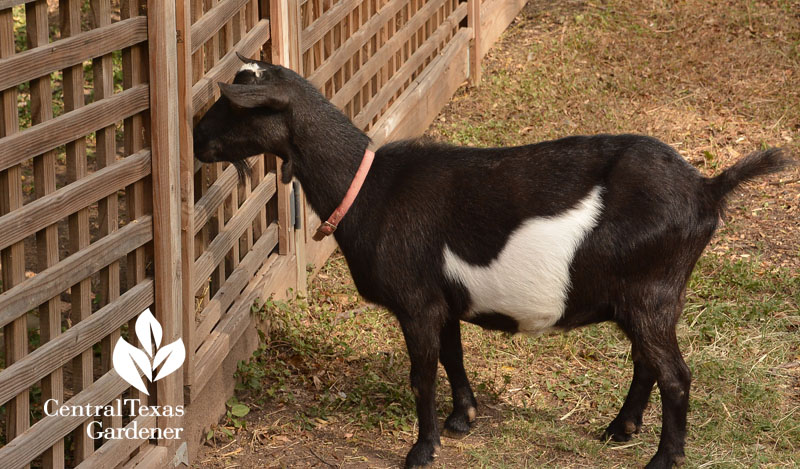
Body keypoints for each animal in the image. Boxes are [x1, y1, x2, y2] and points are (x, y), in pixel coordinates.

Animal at [192, 53, 788, 466]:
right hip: (649, 299)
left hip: (650, 294)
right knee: (649, 362)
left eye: (235, 105)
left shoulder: (417, 304)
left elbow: (422, 374)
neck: (369, 190)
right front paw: (464, 419)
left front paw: (422, 450)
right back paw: (619, 429)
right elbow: (454, 357)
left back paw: (663, 458)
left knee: (676, 375)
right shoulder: (444, 301)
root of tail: (707, 189)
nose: (196, 138)